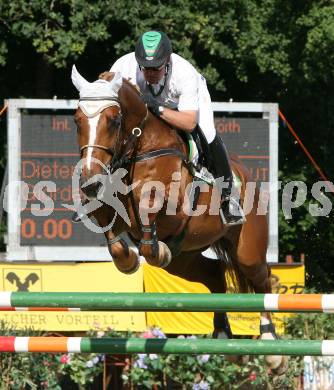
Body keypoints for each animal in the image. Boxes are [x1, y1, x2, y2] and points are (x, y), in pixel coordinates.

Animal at [72, 67, 286, 374]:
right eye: (77, 120)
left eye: (113, 120)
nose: (90, 180)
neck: (139, 148)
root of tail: (249, 177)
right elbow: (111, 229)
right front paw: (129, 259)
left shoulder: (172, 207)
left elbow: (148, 207)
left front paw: (149, 250)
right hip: (184, 259)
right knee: (214, 274)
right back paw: (224, 337)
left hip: (246, 251)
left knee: (263, 279)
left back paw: (271, 348)